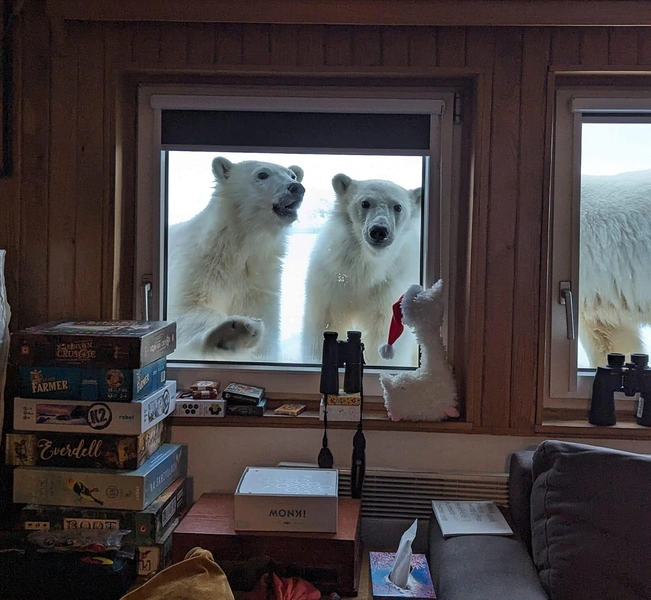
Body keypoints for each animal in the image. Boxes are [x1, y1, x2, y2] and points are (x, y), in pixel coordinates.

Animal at [168, 156, 306, 360]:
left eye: (293, 175)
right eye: (262, 174)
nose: (296, 187)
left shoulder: (259, 282)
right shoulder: (197, 267)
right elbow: (185, 309)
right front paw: (233, 332)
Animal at [302, 171, 420, 364]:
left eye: (398, 207)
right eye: (365, 203)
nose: (379, 231)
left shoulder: (390, 287)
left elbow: (384, 332)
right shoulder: (332, 279)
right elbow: (325, 323)